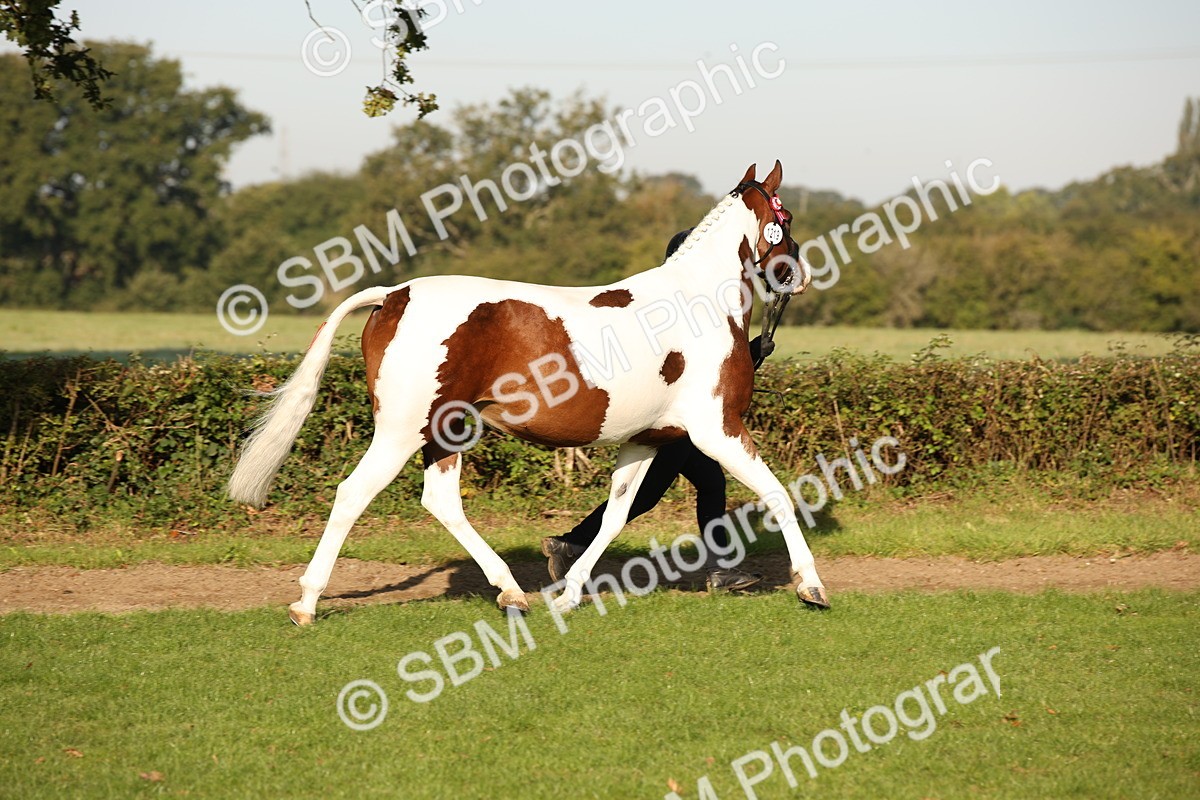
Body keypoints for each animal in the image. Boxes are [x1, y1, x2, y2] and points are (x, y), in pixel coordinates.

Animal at [228, 161, 829, 625]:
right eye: (787, 218)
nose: (799, 276)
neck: (698, 301)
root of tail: (393, 295)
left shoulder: (647, 440)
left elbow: (614, 515)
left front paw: (568, 593)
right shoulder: (717, 429)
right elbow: (778, 493)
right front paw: (811, 587)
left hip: (445, 431)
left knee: (440, 501)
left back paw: (511, 592)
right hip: (401, 430)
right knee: (353, 493)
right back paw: (306, 603)